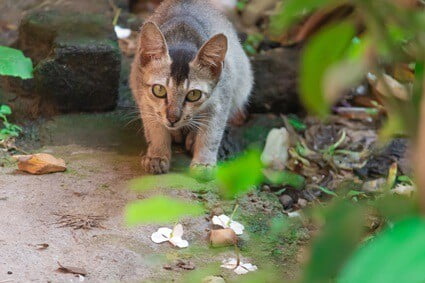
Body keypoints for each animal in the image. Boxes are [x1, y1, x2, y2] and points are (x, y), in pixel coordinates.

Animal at [130, 0, 252, 175]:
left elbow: (211, 134)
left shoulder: (221, 100)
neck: (183, 39)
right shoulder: (144, 97)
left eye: (194, 95)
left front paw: (204, 163)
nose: (172, 119)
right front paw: (157, 155)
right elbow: (155, 128)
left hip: (243, 83)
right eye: (159, 90)